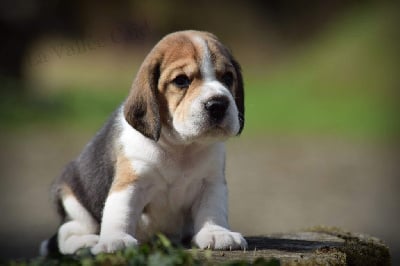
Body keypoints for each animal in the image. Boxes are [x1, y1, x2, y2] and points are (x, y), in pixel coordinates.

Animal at [41, 29, 247, 256]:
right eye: (181, 80)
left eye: (228, 77)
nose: (218, 104)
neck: (181, 147)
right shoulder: (131, 182)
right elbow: (120, 212)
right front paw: (116, 239)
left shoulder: (211, 182)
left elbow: (212, 210)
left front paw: (217, 233)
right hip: (74, 202)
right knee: (66, 234)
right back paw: (85, 242)